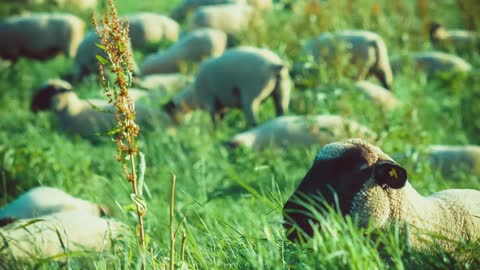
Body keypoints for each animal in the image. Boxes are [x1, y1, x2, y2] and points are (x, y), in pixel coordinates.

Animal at [163, 46, 292, 126]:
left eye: (170, 113)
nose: (173, 131)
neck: (194, 95)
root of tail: (274, 65)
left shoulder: (210, 102)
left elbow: (215, 122)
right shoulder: (222, 106)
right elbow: (221, 120)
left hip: (251, 94)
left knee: (254, 121)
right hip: (283, 90)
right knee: (281, 111)